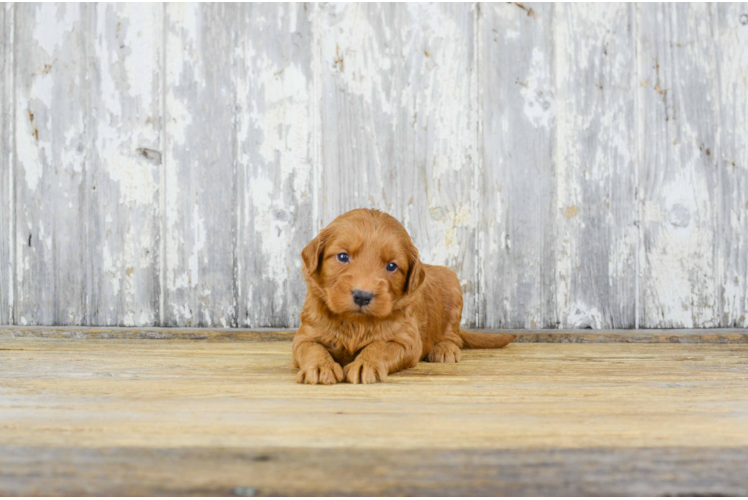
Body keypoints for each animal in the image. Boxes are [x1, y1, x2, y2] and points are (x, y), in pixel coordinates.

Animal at [292, 209, 516, 384]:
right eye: (342, 256)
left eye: (392, 266)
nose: (362, 296)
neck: (356, 322)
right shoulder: (304, 337)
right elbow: (312, 348)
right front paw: (320, 367)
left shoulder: (407, 341)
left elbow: (380, 346)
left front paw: (365, 363)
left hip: (453, 287)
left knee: (454, 335)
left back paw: (445, 348)